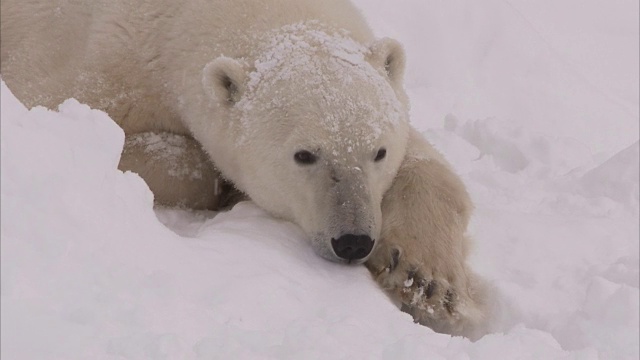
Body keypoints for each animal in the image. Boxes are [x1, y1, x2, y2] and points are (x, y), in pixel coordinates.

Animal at [2, 0, 490, 338]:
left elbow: (428, 162)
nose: (353, 241)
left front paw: (429, 282)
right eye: (304, 155)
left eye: (379, 152)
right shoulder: (87, 65)